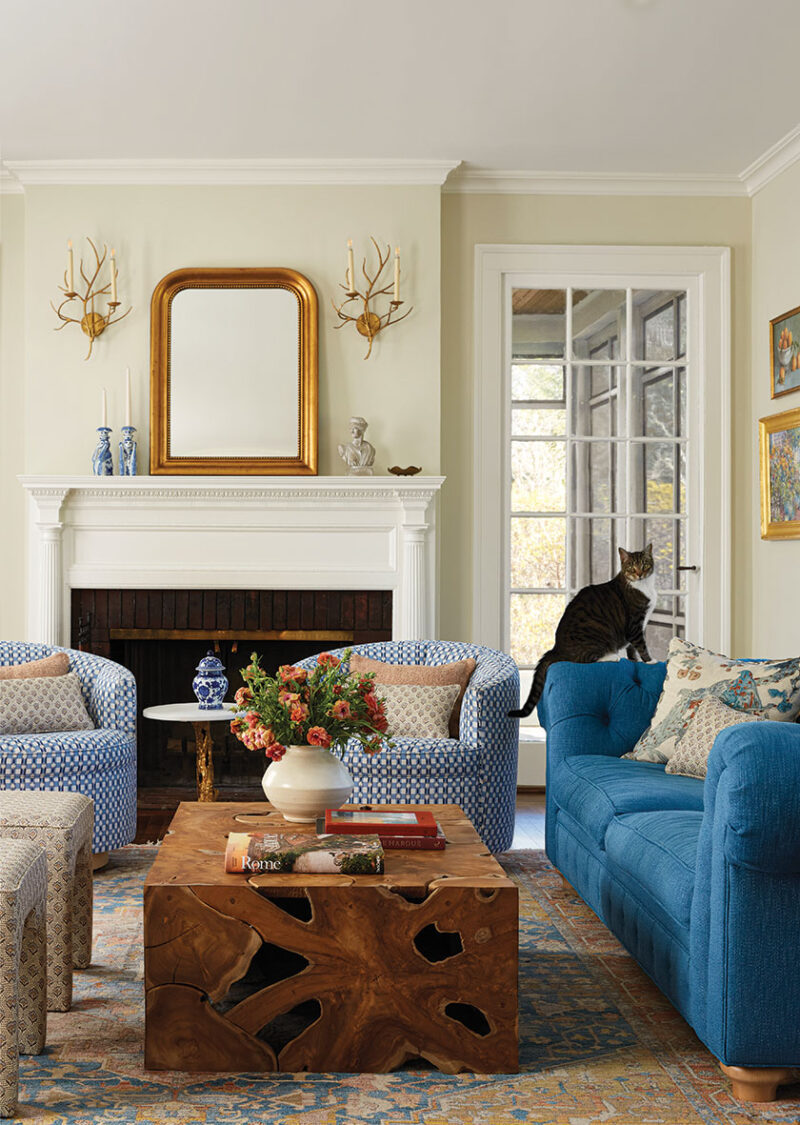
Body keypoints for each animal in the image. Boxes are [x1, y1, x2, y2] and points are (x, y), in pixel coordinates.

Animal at [510, 546, 652, 720]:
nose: (639, 574)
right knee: (584, 658)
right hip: (597, 636)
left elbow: (632, 648)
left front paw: (636, 660)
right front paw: (650, 661)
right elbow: (641, 645)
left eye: (645, 564)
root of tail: (556, 648)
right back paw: (612, 656)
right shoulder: (634, 625)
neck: (643, 586)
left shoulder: (639, 626)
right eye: (631, 567)